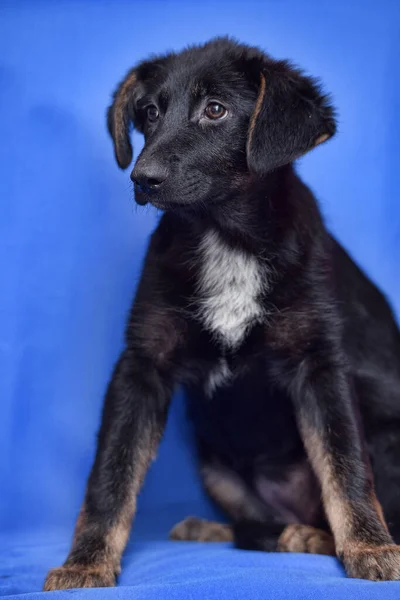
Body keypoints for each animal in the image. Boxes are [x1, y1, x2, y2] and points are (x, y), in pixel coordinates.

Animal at [43, 37, 400, 592]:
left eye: (216, 110)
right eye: (149, 113)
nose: (142, 179)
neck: (225, 237)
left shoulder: (320, 364)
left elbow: (345, 465)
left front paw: (370, 548)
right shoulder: (141, 366)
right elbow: (111, 473)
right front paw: (85, 563)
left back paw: (319, 536)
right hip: (215, 465)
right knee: (253, 525)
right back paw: (242, 530)